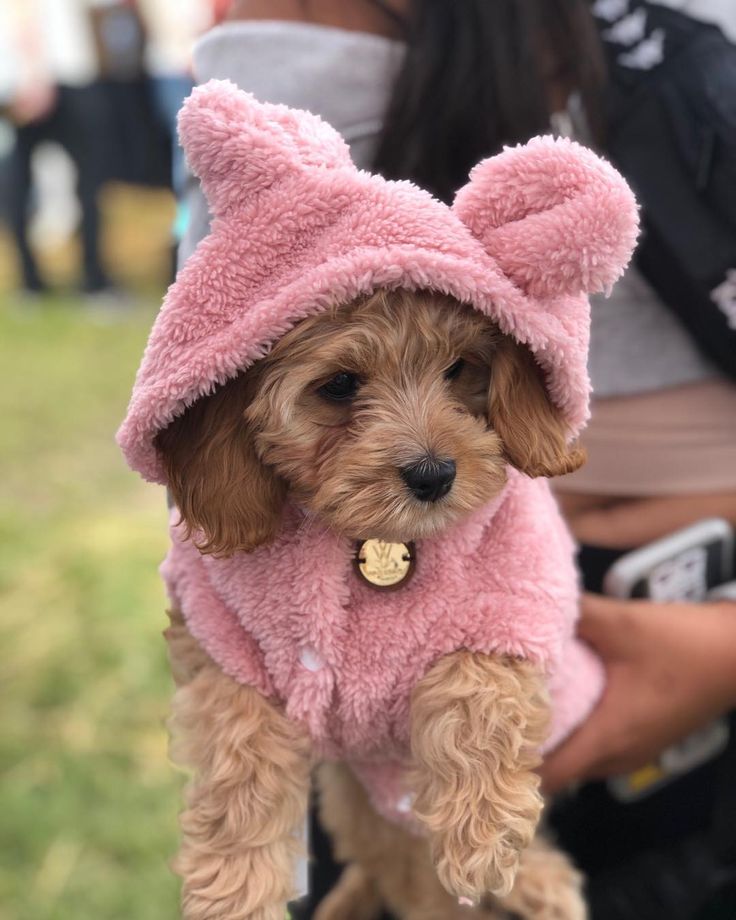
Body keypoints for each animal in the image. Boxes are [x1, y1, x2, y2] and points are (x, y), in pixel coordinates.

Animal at [157, 290, 588, 920]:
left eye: (459, 368)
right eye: (339, 384)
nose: (434, 474)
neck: (373, 537)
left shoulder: (514, 594)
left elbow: (474, 681)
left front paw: (480, 833)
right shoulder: (224, 638)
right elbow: (239, 763)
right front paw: (234, 893)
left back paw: (542, 886)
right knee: (395, 869)